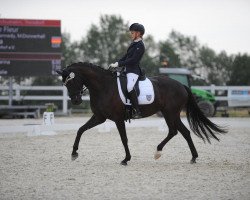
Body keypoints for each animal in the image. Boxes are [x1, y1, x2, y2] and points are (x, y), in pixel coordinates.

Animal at [56, 61, 227, 165]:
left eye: (71, 81)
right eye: (65, 83)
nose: (76, 100)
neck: (104, 86)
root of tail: (181, 85)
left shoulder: (118, 118)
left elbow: (124, 139)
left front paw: (126, 159)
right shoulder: (100, 117)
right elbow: (80, 130)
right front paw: (74, 153)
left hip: (170, 113)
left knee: (175, 131)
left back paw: (159, 151)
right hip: (170, 113)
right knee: (182, 131)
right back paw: (191, 157)